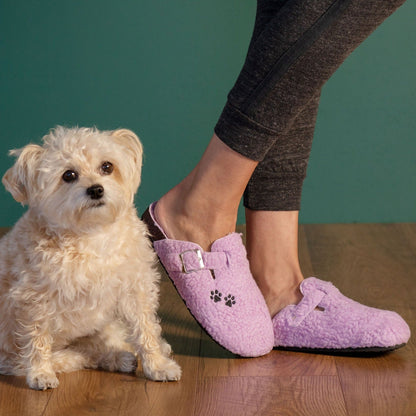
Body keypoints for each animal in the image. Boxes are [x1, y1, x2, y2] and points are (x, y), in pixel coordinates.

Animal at [0, 127, 182, 390]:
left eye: (107, 166)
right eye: (68, 175)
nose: (96, 189)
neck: (92, 234)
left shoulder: (134, 288)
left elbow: (145, 329)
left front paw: (157, 364)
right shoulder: (33, 301)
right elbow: (37, 340)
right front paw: (40, 373)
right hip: (10, 353)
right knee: (71, 356)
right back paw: (114, 357)